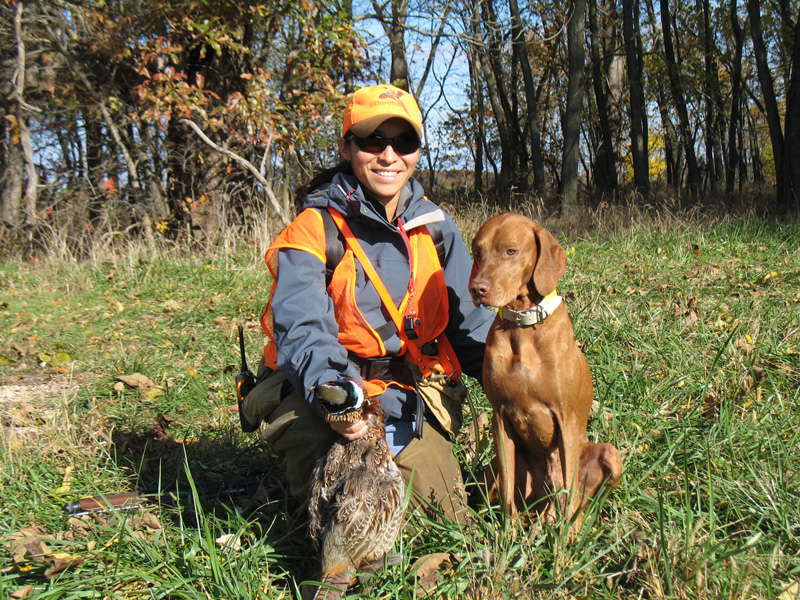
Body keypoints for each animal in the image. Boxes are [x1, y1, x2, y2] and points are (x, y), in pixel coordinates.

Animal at [468, 212, 624, 528]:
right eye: (477, 252)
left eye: (511, 251)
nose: (477, 289)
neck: (524, 327)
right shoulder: (500, 417)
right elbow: (507, 492)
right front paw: (508, 534)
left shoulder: (566, 418)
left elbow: (571, 490)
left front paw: (565, 537)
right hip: (497, 469)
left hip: (609, 455)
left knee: (578, 500)